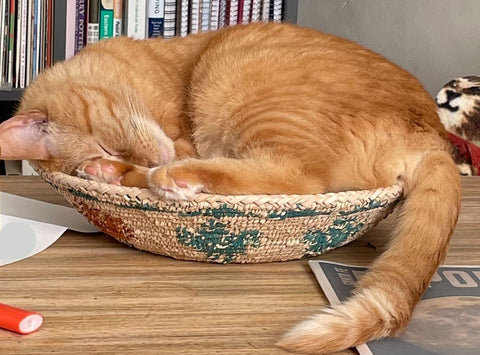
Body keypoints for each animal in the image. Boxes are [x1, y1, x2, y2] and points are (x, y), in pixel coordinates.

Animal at [0, 23, 462, 354]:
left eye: (106, 141)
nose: (116, 158)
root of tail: (434, 136)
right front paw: (108, 170)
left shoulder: (181, 140)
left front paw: (119, 167)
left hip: (241, 81)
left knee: (293, 177)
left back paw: (160, 176)